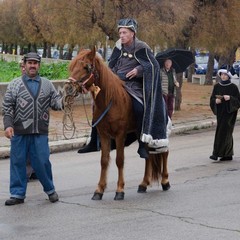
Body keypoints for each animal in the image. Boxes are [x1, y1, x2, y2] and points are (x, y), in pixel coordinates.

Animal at [66, 47, 170, 201]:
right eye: (72, 66)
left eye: (86, 67)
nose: (68, 88)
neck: (110, 100)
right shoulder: (104, 134)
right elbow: (104, 160)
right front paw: (99, 190)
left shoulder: (120, 134)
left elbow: (119, 160)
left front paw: (120, 190)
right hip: (140, 134)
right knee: (148, 155)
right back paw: (143, 184)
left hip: (159, 131)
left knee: (164, 152)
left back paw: (165, 181)